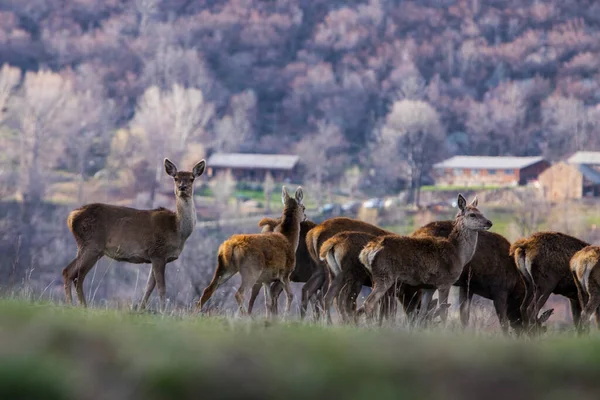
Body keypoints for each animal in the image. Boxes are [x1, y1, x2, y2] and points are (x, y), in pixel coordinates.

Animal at [61, 159, 205, 310]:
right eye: (176, 178)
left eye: (192, 178)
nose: (182, 187)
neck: (177, 230)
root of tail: (71, 217)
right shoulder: (158, 252)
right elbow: (161, 287)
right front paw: (163, 310)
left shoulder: (155, 256)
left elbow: (149, 286)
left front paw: (140, 308)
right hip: (92, 244)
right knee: (72, 273)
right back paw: (76, 304)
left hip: (89, 247)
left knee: (75, 274)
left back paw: (80, 305)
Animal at [197, 186, 304, 318]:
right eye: (304, 207)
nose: (305, 216)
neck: (290, 240)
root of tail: (230, 246)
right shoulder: (285, 273)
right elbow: (290, 295)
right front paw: (285, 316)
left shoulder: (266, 279)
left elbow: (268, 302)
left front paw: (268, 319)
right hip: (251, 270)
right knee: (239, 294)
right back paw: (246, 317)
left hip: (225, 267)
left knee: (208, 289)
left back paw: (196, 312)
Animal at [358, 195, 490, 324]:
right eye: (472, 214)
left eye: (481, 212)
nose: (489, 222)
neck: (459, 254)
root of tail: (365, 253)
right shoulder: (445, 282)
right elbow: (443, 312)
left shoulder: (429, 287)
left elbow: (422, 313)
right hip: (384, 274)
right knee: (369, 303)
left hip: (374, 276)